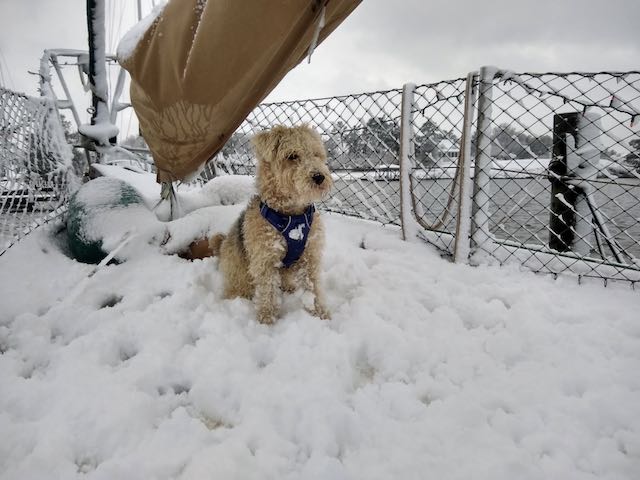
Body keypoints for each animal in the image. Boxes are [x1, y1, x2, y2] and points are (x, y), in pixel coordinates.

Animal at [210, 125, 332, 324]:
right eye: (292, 155)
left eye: (316, 154)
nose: (319, 177)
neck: (291, 216)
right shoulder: (265, 260)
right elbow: (268, 292)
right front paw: (267, 320)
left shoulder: (310, 256)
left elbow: (313, 288)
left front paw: (320, 313)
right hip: (239, 271)